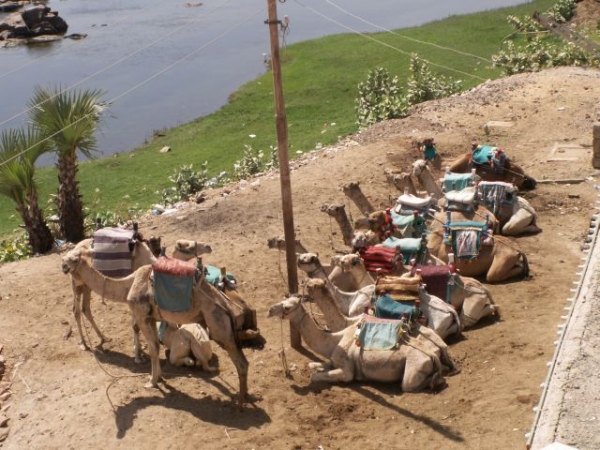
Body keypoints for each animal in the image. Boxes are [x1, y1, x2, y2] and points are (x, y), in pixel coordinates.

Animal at [61, 251, 248, 410]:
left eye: (73, 259)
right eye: (66, 258)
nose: (63, 266)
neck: (128, 285)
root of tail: (227, 307)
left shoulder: (142, 316)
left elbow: (152, 348)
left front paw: (152, 381)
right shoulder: (150, 317)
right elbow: (155, 348)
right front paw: (159, 377)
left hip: (218, 324)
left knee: (241, 362)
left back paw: (240, 404)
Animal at [268, 296, 454, 390]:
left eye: (287, 307)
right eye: (282, 300)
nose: (270, 310)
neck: (335, 340)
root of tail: (434, 354)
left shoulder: (346, 370)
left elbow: (317, 376)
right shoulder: (333, 360)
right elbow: (314, 365)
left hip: (415, 368)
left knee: (409, 384)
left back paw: (436, 380)